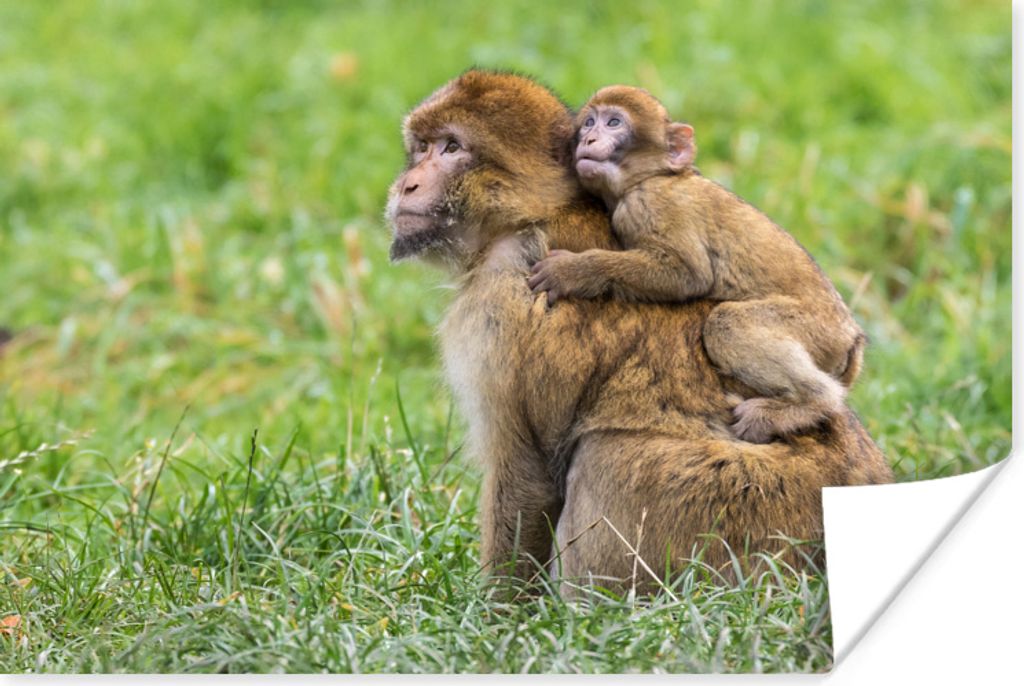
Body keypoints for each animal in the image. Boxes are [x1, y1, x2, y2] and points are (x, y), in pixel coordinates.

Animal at [527, 85, 866, 445]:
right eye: (590, 122)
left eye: (614, 122)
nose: (588, 139)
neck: (652, 176)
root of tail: (852, 338)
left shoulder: (650, 204)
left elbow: (689, 275)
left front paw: (573, 272)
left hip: (815, 328)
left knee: (727, 323)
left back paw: (808, 403)